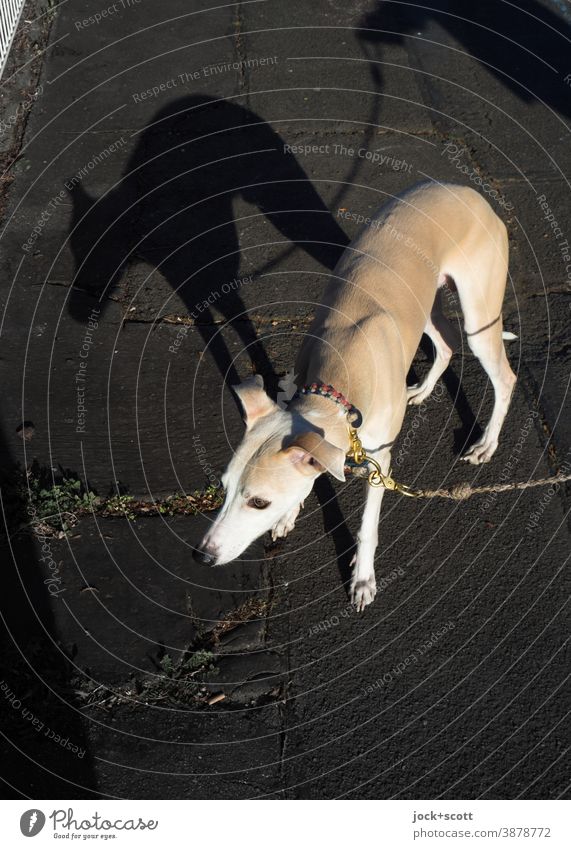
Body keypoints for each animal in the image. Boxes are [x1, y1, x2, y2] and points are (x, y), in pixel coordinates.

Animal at [193, 181, 520, 608]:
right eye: (224, 487)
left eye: (259, 502)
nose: (202, 556)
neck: (336, 386)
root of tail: (467, 191)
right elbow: (314, 474)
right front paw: (289, 515)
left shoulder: (380, 461)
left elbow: (367, 525)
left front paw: (363, 579)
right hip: (424, 303)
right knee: (447, 340)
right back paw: (421, 389)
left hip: (479, 318)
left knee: (505, 376)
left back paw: (486, 443)